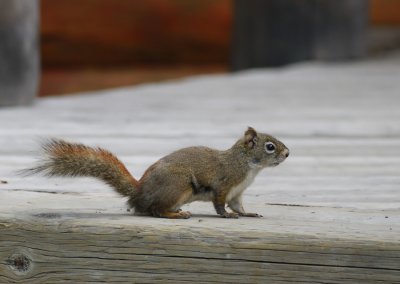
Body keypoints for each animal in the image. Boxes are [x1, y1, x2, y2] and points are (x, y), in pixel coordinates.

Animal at [24, 127, 288, 219]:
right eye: (270, 146)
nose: (287, 153)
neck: (248, 166)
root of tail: (139, 192)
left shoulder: (237, 193)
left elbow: (238, 206)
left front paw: (248, 213)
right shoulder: (224, 184)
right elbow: (220, 204)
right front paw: (226, 216)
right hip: (178, 185)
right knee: (155, 210)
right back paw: (175, 214)